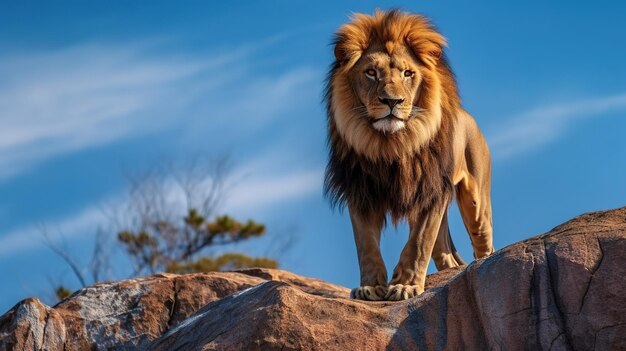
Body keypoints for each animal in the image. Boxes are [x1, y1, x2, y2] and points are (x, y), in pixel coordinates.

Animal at [322, 11, 492, 302]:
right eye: (371, 72)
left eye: (408, 73)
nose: (392, 101)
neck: (391, 144)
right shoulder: (361, 191)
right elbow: (366, 245)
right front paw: (370, 287)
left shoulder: (430, 190)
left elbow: (419, 243)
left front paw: (406, 286)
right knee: (445, 255)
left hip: (476, 200)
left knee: (483, 241)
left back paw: (485, 267)